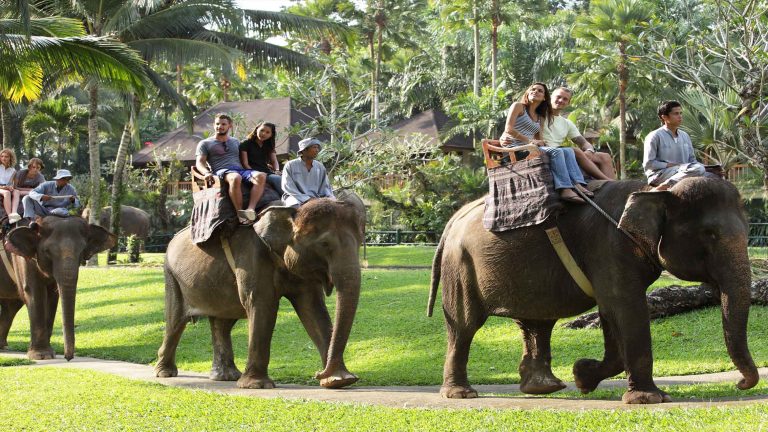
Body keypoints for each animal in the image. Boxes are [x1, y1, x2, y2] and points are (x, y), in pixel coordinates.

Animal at [0, 218, 117, 360]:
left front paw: (49, 354)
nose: (68, 358)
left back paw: (2, 346)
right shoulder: (22, 259)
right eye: (47, 251)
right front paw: (41, 355)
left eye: (82, 250)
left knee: (10, 306)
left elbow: (52, 297)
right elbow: (34, 292)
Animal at [156, 194, 366, 390]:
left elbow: (312, 309)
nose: (318, 373)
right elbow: (262, 305)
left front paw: (339, 380)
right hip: (172, 276)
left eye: (360, 241)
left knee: (222, 322)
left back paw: (226, 376)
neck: (290, 212)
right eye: (324, 244)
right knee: (175, 321)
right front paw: (256, 385)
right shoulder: (252, 257)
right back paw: (165, 373)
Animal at [428, 176, 760, 404]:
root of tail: (453, 219)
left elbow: (611, 312)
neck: (654, 190)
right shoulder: (609, 247)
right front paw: (649, 399)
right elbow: (627, 308)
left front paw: (582, 377)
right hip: (460, 266)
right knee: (464, 325)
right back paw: (461, 394)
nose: (740, 384)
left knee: (536, 322)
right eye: (710, 234)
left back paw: (544, 387)